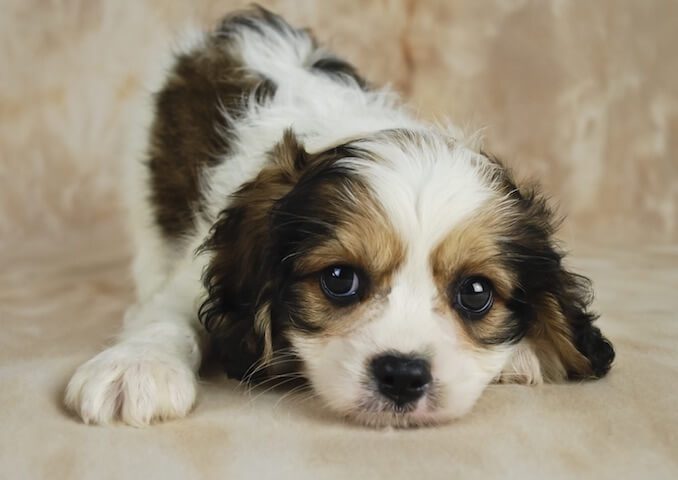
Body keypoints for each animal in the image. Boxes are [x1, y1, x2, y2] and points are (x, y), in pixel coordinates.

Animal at [63, 6, 616, 428]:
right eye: (338, 280)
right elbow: (168, 313)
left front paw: (523, 350)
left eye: (476, 293)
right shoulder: (194, 274)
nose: (402, 375)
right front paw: (136, 366)